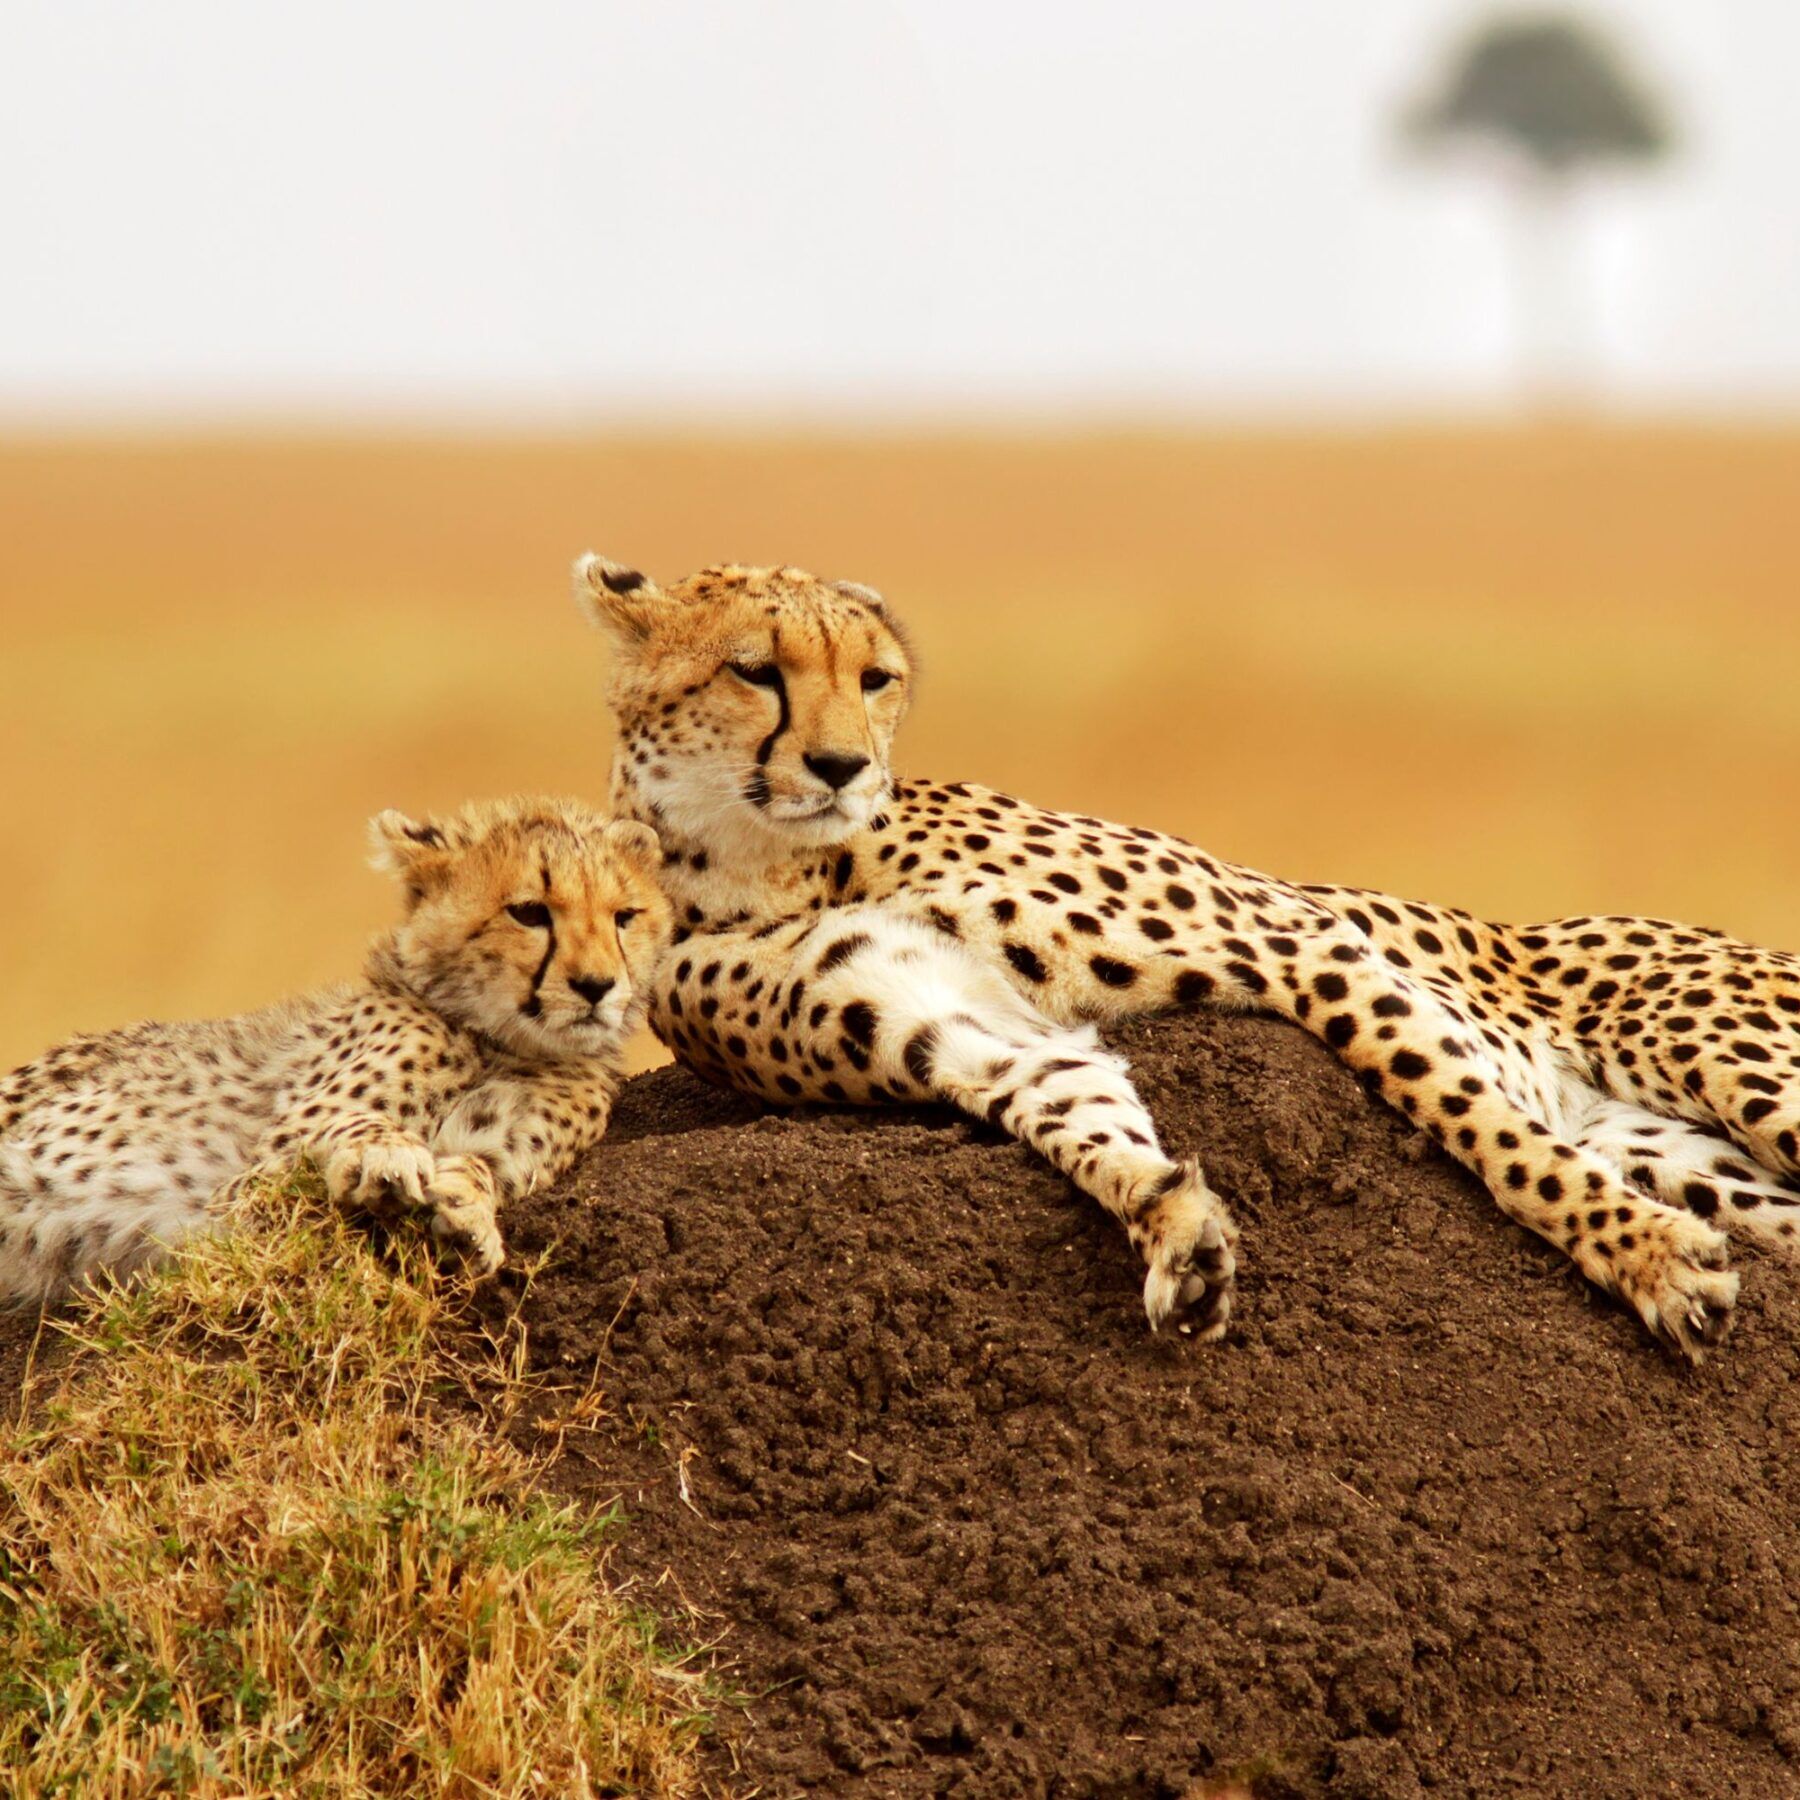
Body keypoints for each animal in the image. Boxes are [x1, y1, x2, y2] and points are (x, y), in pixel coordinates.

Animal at [0, 796, 671, 1303]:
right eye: (529, 912)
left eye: (625, 916)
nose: (597, 986)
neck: (498, 1040)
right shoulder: (244, 1192)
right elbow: (351, 1125)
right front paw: (384, 1157)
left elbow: (481, 1166)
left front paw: (467, 1211)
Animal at [574, 551, 1800, 1362]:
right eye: (754, 672)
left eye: (874, 679)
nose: (840, 767)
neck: (772, 862)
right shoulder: (966, 1030)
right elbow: (1080, 1116)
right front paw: (1178, 1231)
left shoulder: (1303, 942)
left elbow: (1478, 1121)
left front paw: (1642, 1253)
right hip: (1693, 1155)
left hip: (1726, 1059)